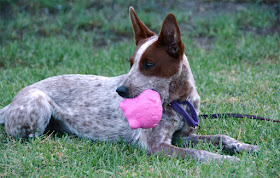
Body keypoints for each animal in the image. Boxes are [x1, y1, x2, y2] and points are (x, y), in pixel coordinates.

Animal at [0, 6, 258, 162]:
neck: (177, 101)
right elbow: (200, 153)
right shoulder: (156, 146)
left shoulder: (183, 136)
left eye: (148, 64)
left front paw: (244, 147)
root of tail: (11, 103)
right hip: (38, 104)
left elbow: (221, 137)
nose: (120, 91)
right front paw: (227, 160)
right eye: (131, 63)